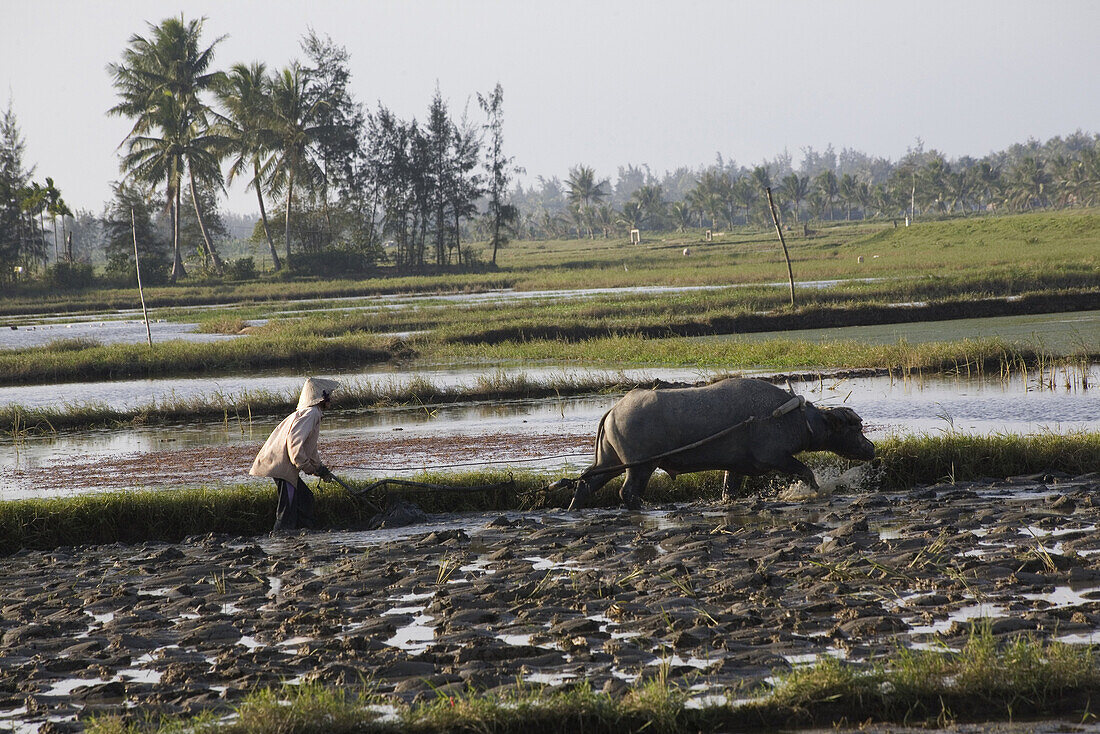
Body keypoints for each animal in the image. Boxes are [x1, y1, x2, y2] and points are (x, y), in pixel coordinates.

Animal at [563, 378, 871, 510]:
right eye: (856, 427)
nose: (871, 449)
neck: (793, 417)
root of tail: (614, 410)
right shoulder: (776, 458)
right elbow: (805, 472)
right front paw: (816, 491)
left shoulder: (736, 467)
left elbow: (729, 491)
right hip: (640, 466)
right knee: (627, 492)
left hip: (612, 461)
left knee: (587, 483)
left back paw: (573, 509)